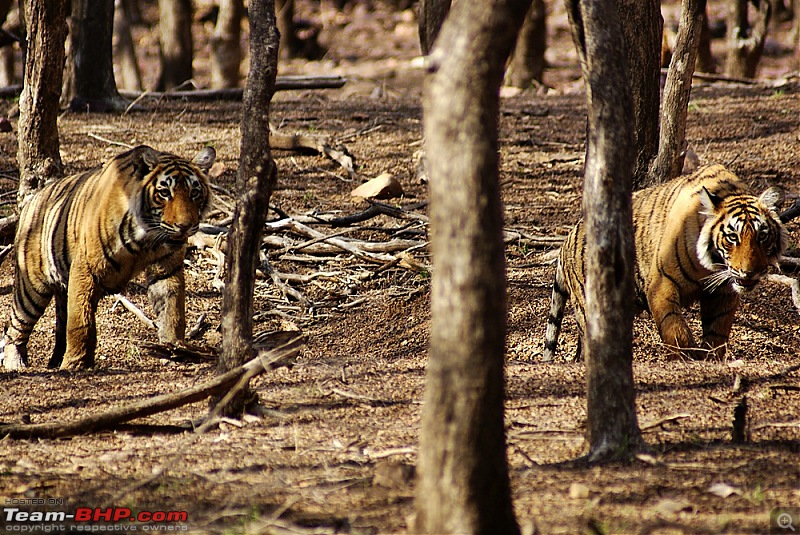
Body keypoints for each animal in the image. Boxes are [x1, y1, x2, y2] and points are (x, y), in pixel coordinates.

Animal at [1, 147, 214, 372]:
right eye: (164, 193)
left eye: (194, 193)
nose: (185, 226)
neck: (147, 238)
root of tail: (31, 202)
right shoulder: (85, 268)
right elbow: (80, 322)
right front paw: (74, 363)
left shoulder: (167, 269)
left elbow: (173, 310)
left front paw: (175, 347)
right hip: (31, 288)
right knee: (14, 326)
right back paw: (16, 363)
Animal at [544, 165, 788, 362]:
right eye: (732, 237)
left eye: (762, 236)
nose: (751, 272)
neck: (709, 266)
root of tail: (567, 240)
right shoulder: (662, 284)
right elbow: (674, 328)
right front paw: (686, 357)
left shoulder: (724, 291)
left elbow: (717, 331)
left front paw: (710, 358)